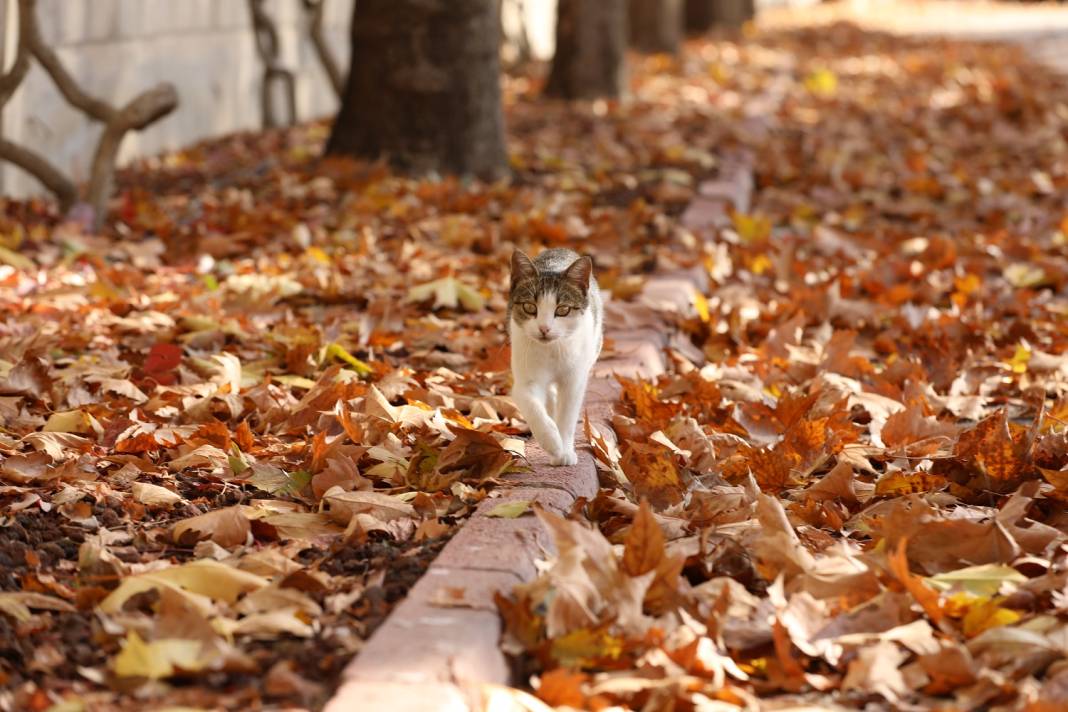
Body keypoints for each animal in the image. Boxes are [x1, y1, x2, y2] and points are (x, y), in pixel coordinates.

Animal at [506, 249, 602, 467]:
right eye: (529, 307)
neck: (550, 350)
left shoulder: (574, 380)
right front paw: (551, 440)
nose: (544, 328)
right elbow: (532, 404)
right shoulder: (525, 378)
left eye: (563, 310)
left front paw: (564, 451)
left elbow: (567, 417)